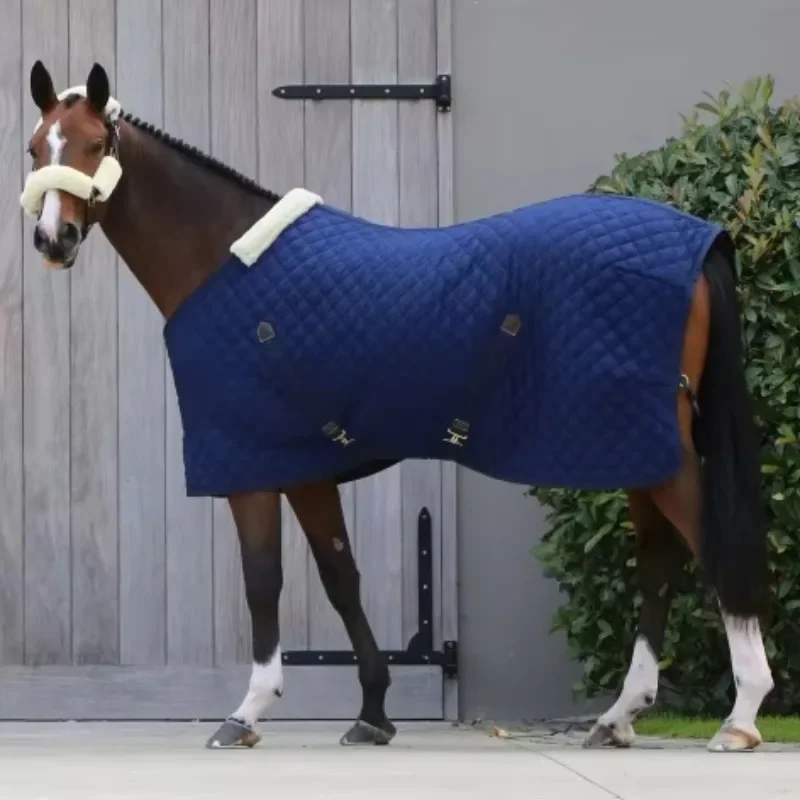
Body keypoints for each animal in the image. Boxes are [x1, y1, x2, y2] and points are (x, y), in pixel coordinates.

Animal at [19, 58, 774, 754]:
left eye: (94, 143)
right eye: (34, 148)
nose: (53, 240)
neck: (226, 260)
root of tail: (701, 238)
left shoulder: (253, 465)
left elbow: (264, 580)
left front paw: (247, 712)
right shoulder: (306, 467)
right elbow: (341, 578)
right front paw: (374, 712)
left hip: (650, 447)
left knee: (707, 549)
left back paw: (739, 718)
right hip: (635, 446)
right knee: (658, 559)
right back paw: (619, 716)